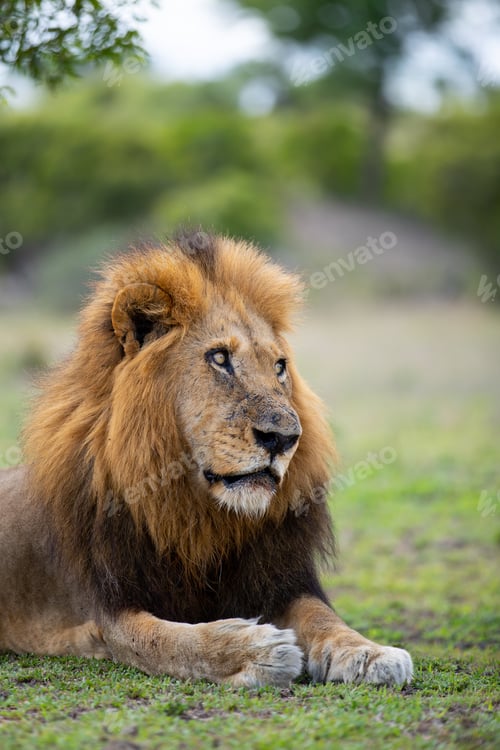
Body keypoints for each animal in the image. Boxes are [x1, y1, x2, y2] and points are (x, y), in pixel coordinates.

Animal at [0, 232, 412, 687]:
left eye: (279, 366)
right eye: (219, 358)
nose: (285, 437)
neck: (197, 514)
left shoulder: (277, 580)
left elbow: (323, 617)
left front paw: (369, 652)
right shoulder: (110, 612)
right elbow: (172, 640)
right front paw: (254, 649)